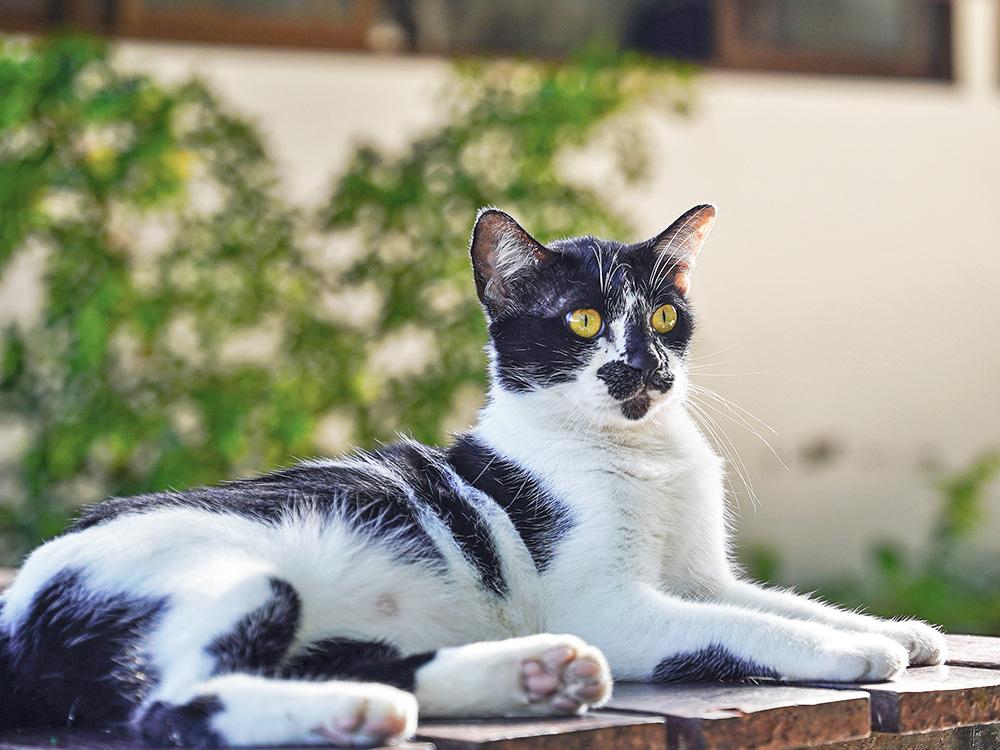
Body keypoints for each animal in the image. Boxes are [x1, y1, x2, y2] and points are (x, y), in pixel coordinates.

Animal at [0, 204, 944, 748]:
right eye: (584, 321)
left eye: (664, 317)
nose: (640, 369)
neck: (640, 454)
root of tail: (16, 616)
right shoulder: (603, 602)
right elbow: (737, 626)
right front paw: (851, 649)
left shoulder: (701, 573)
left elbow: (777, 601)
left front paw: (899, 629)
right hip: (237, 578)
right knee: (174, 706)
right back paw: (357, 714)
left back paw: (525, 676)